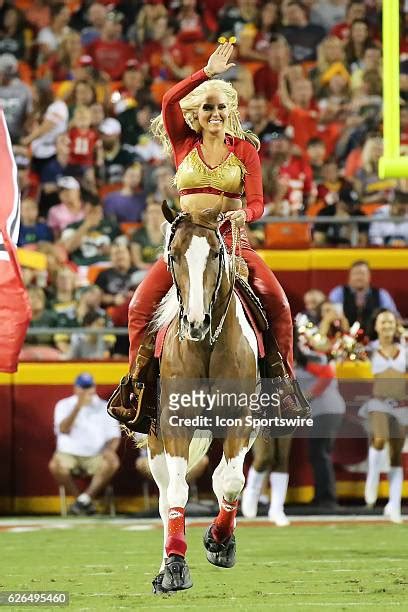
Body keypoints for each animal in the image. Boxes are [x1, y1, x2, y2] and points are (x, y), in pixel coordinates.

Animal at [147, 201, 260, 592]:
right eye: (174, 255)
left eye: (215, 253)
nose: (195, 322)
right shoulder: (174, 423)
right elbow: (178, 493)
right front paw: (174, 568)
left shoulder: (243, 419)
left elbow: (232, 482)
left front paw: (219, 541)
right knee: (166, 496)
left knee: (222, 477)